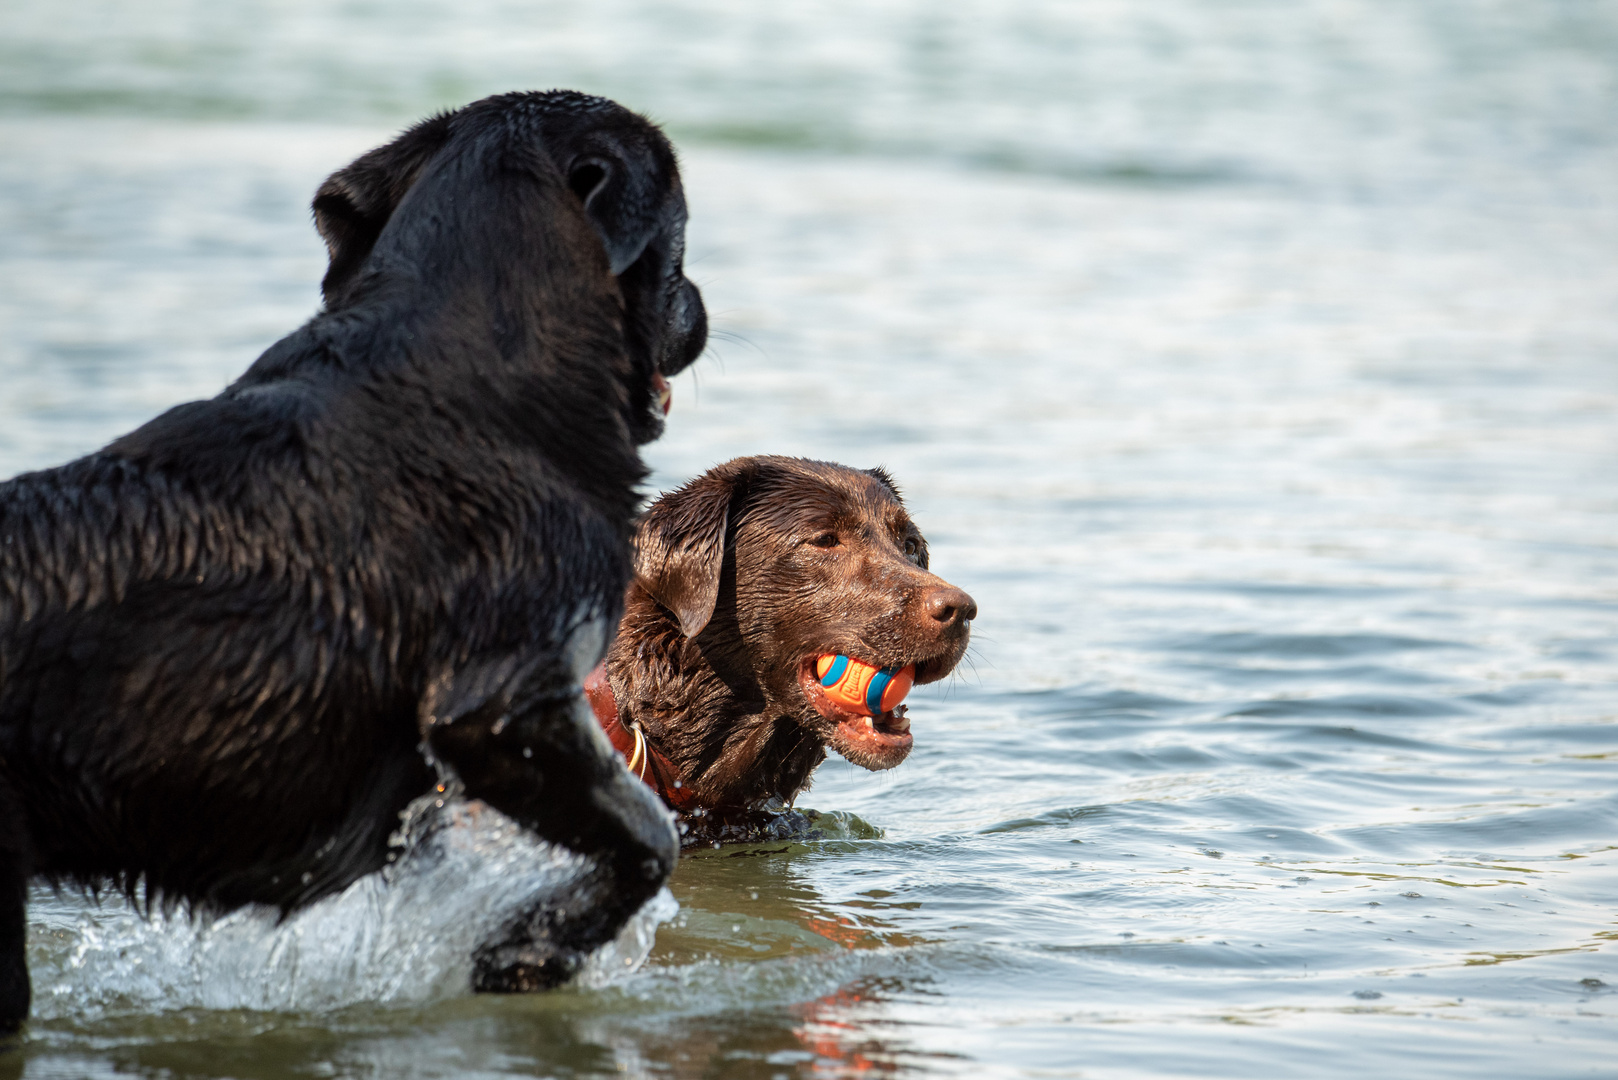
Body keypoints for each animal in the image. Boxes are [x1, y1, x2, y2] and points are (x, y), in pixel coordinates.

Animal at [0, 90, 708, 1029]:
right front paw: (530, 950)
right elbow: (650, 834)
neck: (468, 372)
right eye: (681, 245)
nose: (699, 302)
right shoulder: (504, 701)